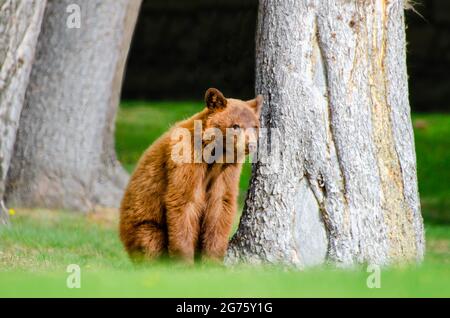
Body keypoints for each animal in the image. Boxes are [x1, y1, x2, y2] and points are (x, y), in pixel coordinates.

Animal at [118, 88, 264, 262]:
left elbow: (221, 204)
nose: (251, 145)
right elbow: (184, 202)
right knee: (150, 241)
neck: (214, 155)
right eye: (235, 126)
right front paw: (184, 262)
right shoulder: (186, 158)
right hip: (144, 227)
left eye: (255, 126)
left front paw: (212, 260)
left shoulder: (227, 170)